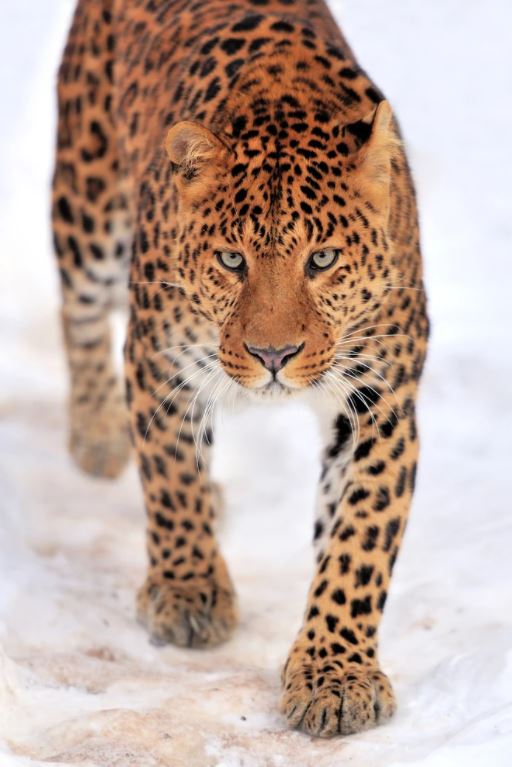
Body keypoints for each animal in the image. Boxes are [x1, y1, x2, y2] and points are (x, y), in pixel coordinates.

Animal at [52, 0, 429, 738]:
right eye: (232, 260)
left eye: (322, 259)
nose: (272, 356)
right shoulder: (159, 362)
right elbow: (172, 479)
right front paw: (189, 590)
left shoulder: (383, 400)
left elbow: (359, 539)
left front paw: (336, 673)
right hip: (88, 210)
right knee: (78, 312)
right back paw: (100, 433)